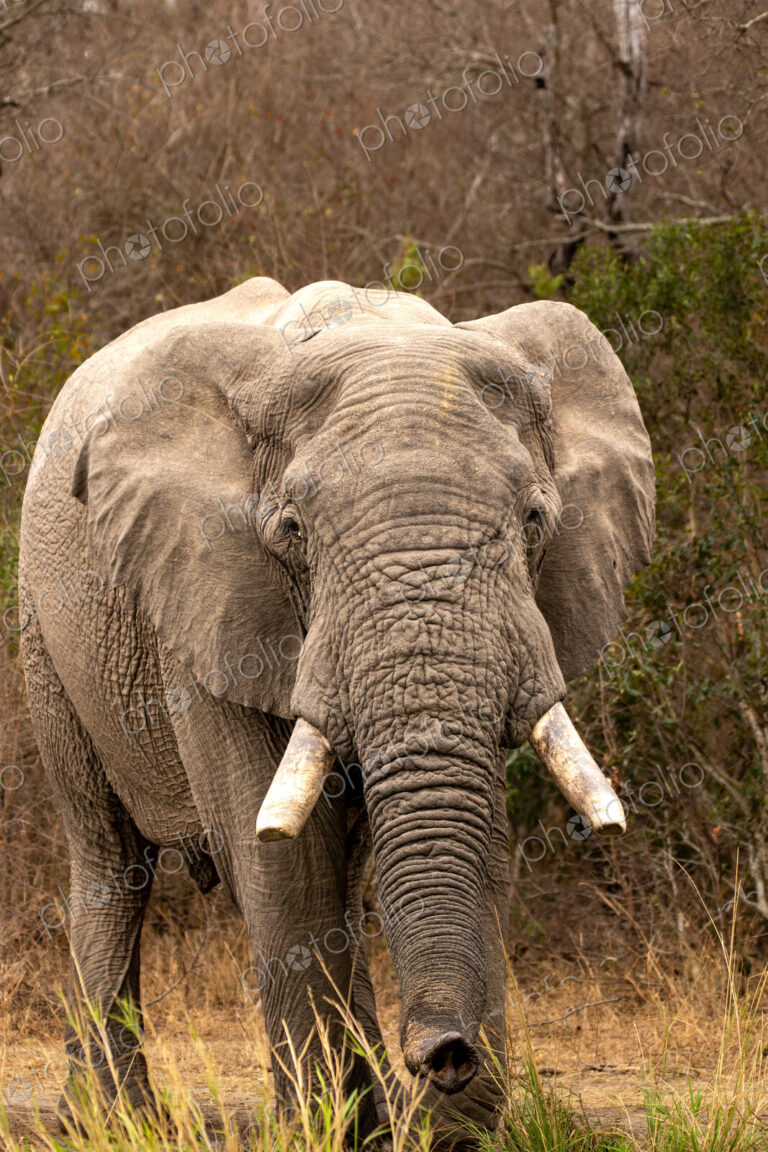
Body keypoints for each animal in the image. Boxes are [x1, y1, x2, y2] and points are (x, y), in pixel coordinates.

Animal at [18, 276, 654, 1145]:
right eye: (291, 530)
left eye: (535, 521)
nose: (444, 1052)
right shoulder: (208, 603)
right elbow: (282, 865)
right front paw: (321, 1132)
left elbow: (474, 837)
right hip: (47, 632)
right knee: (111, 862)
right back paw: (114, 1124)